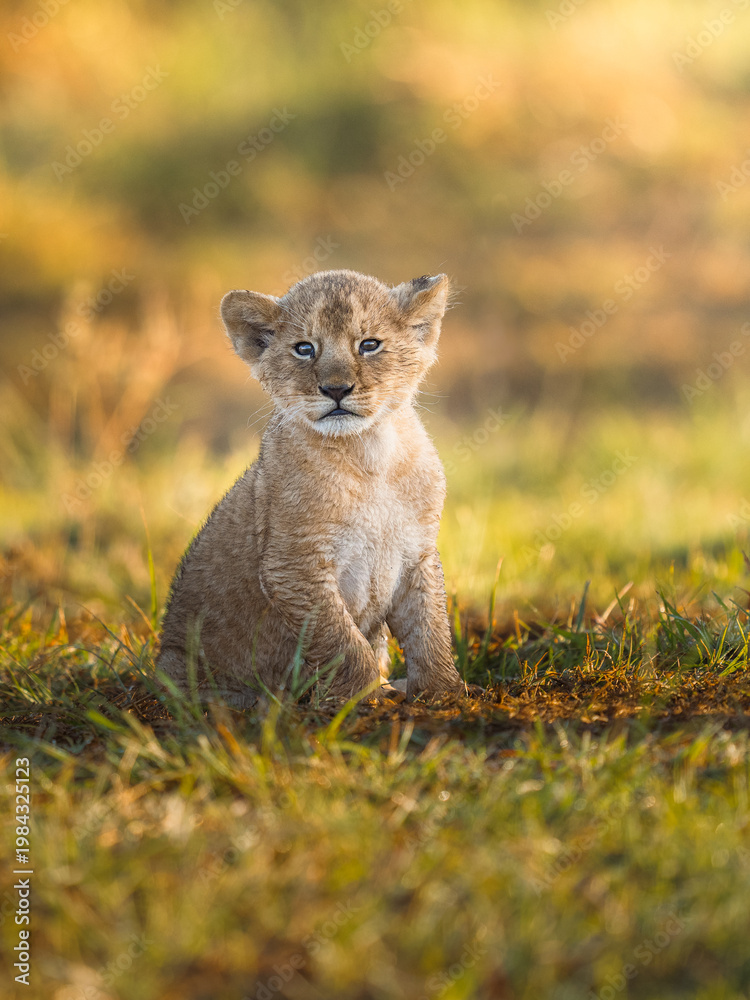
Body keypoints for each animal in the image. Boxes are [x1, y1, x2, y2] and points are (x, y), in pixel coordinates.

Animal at [157, 269, 464, 706]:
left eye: (369, 344)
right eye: (304, 349)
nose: (336, 389)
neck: (369, 454)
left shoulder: (417, 552)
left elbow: (430, 628)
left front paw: (444, 692)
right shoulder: (293, 564)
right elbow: (342, 641)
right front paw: (362, 700)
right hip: (180, 665)